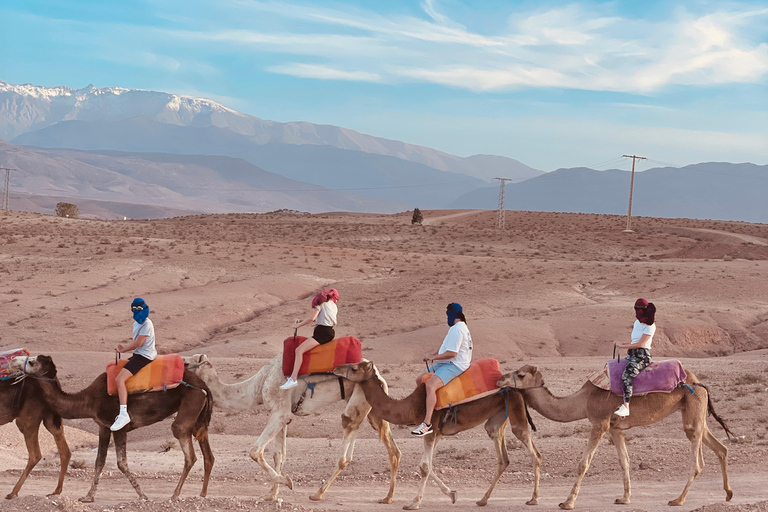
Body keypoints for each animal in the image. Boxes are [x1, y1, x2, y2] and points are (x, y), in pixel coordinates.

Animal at [12, 354, 214, 502]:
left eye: (32, 361)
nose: (13, 361)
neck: (88, 400)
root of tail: (204, 385)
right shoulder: (103, 426)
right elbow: (99, 461)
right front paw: (88, 496)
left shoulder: (118, 427)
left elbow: (121, 463)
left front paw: (143, 496)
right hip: (198, 416)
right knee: (208, 455)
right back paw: (202, 494)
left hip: (190, 403)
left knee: (188, 449)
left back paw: (174, 495)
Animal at [184, 354, 402, 502]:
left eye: (186, 362)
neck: (257, 385)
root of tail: (377, 373)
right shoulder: (282, 417)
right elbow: (278, 455)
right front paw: (272, 494)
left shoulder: (280, 413)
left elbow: (255, 451)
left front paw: (287, 482)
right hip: (371, 407)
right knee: (393, 449)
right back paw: (388, 498)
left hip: (357, 401)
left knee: (346, 451)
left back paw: (318, 494)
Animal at [332, 362, 544, 510]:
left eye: (355, 368)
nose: (336, 368)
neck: (410, 405)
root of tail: (516, 387)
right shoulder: (437, 433)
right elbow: (428, 464)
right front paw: (452, 494)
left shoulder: (430, 428)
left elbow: (425, 466)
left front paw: (413, 503)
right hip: (497, 418)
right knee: (503, 458)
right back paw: (482, 500)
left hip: (516, 412)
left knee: (534, 453)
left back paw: (533, 499)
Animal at [498, 364, 732, 508]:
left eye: (520, 374)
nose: (500, 379)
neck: (583, 400)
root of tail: (699, 382)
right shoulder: (615, 428)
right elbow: (624, 461)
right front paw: (625, 498)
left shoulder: (600, 423)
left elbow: (583, 464)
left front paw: (567, 502)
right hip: (694, 410)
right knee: (720, 447)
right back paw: (728, 493)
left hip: (693, 410)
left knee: (698, 460)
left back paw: (678, 500)